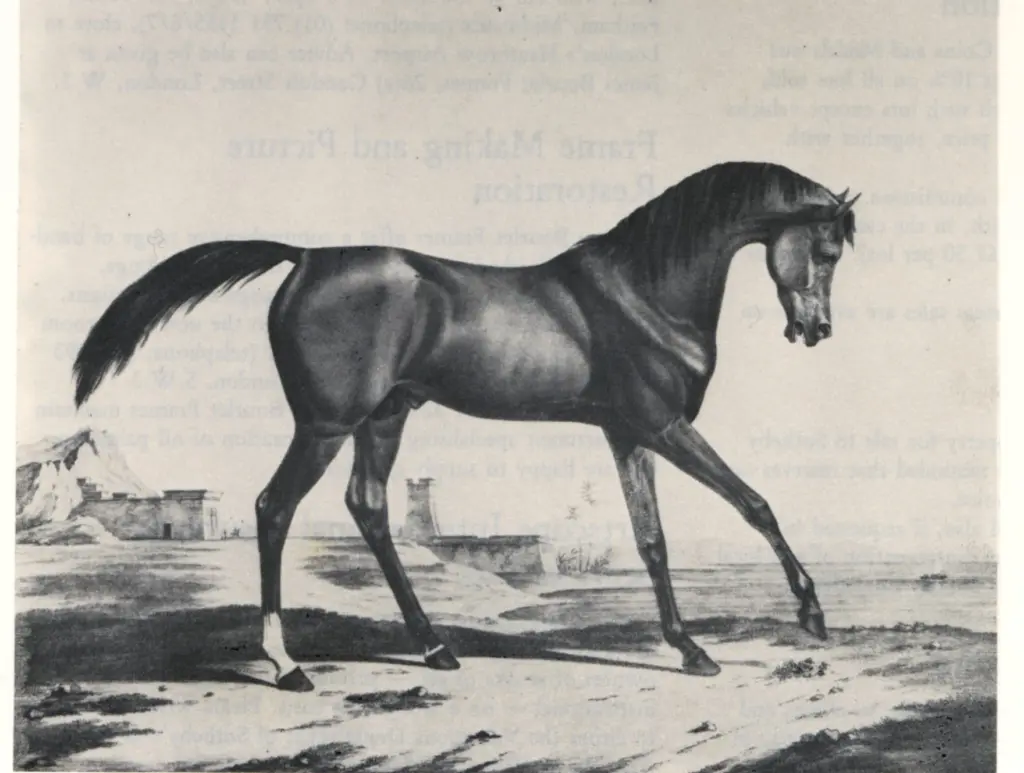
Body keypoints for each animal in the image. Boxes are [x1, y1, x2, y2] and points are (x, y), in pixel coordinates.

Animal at [72, 161, 860, 692]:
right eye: (825, 251)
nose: (816, 330)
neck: (643, 291)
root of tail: (305, 258)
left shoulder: (627, 434)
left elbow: (652, 541)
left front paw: (690, 649)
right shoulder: (662, 425)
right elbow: (754, 502)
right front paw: (811, 612)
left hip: (384, 418)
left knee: (368, 507)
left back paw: (433, 646)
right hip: (326, 424)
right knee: (274, 508)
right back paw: (287, 662)